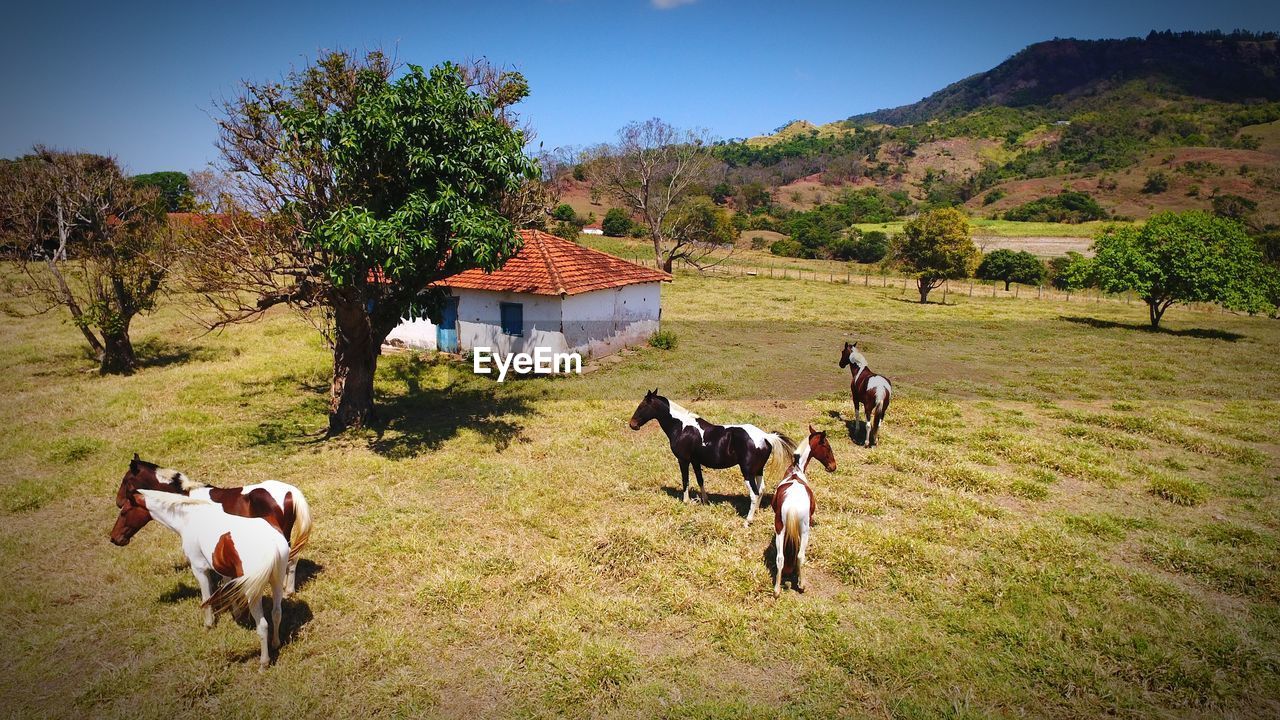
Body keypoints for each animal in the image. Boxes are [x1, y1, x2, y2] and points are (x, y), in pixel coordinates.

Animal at [110, 486, 288, 666]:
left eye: (124, 512)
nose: (114, 538)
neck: (190, 519)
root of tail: (273, 544)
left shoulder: (199, 569)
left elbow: (206, 598)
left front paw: (208, 625)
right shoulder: (226, 572)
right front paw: (236, 614)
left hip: (254, 592)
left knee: (263, 625)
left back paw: (264, 662)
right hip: (277, 583)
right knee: (277, 613)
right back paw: (275, 643)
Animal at [627, 389, 793, 525]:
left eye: (642, 406)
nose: (632, 424)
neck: (681, 427)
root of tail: (765, 437)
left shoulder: (683, 460)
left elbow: (685, 480)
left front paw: (686, 501)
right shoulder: (695, 461)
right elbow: (700, 480)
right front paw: (705, 501)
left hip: (747, 472)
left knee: (754, 493)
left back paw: (748, 521)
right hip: (758, 470)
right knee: (761, 489)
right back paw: (756, 512)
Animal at [768, 425, 839, 594]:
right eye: (827, 446)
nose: (833, 466)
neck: (796, 470)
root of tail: (793, 505)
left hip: (780, 528)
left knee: (780, 558)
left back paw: (777, 590)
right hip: (805, 530)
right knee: (800, 556)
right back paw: (801, 585)